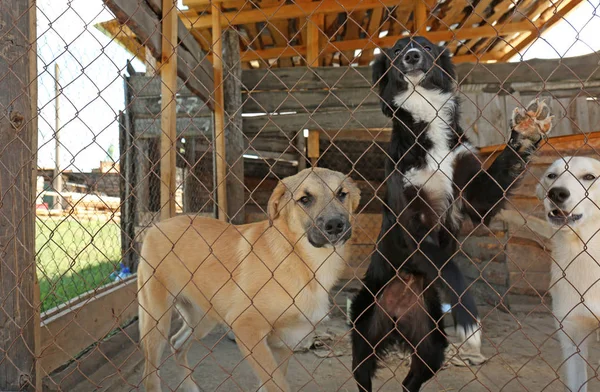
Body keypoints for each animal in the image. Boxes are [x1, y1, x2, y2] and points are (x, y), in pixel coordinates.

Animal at [138, 168, 358, 392]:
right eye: (304, 199)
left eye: (342, 194)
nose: (335, 225)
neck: (303, 260)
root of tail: (157, 225)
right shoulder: (247, 328)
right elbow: (278, 385)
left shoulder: (285, 342)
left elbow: (271, 384)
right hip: (156, 321)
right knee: (149, 374)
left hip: (202, 319)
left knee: (177, 343)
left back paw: (189, 386)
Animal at [352, 36, 552, 392]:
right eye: (396, 50)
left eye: (426, 47)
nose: (411, 56)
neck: (426, 119)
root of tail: (396, 315)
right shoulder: (412, 227)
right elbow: (449, 266)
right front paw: (469, 318)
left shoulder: (476, 195)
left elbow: (503, 168)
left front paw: (525, 134)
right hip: (364, 332)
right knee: (363, 374)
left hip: (431, 343)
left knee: (411, 380)